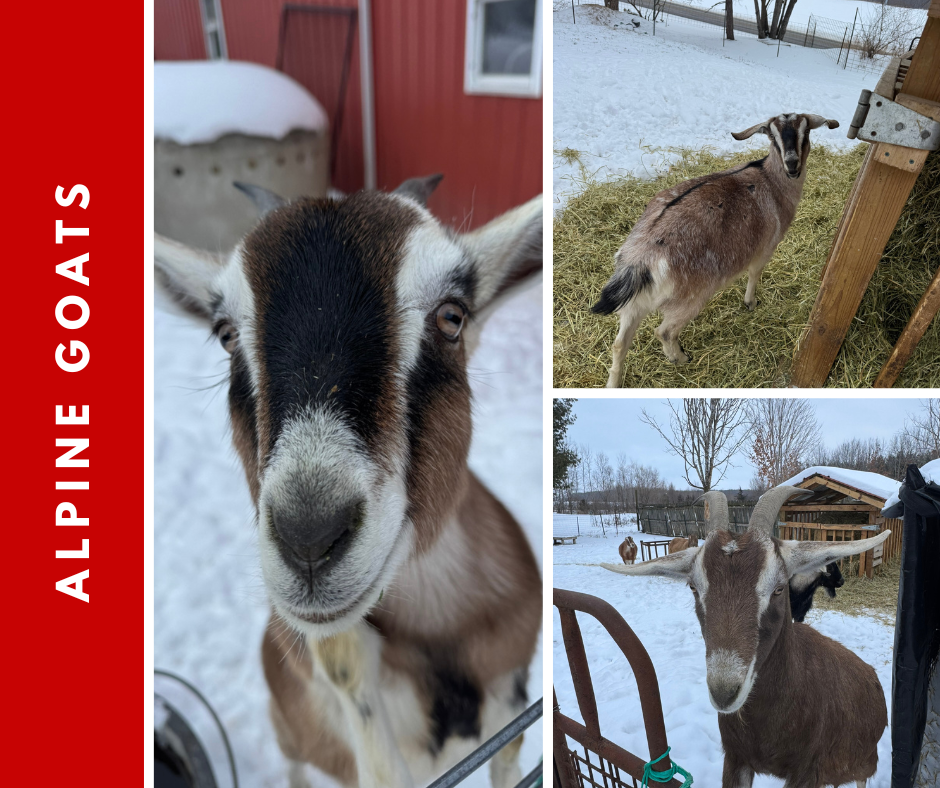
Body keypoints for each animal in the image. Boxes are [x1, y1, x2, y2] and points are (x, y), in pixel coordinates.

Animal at [592, 113, 840, 387]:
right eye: (773, 136)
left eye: (805, 132)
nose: (792, 164)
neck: (771, 182)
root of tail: (642, 257)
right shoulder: (766, 247)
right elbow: (754, 274)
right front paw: (750, 303)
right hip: (691, 295)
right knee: (664, 331)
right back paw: (680, 358)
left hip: (633, 303)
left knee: (619, 343)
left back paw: (613, 383)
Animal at [601, 485, 889, 788]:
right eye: (693, 587)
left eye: (778, 588)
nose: (724, 693)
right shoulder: (736, 758)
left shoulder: (807, 772)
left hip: (864, 765)